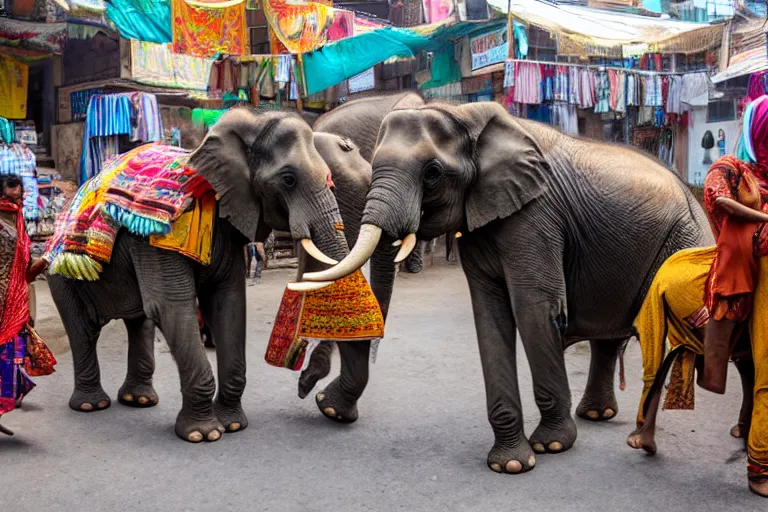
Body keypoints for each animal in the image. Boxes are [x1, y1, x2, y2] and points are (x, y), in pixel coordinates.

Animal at [45, 109, 360, 444]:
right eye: (288, 180)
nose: (308, 389)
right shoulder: (158, 237)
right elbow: (171, 306)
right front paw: (203, 434)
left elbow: (227, 302)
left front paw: (233, 425)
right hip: (59, 271)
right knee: (83, 328)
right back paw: (92, 404)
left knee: (139, 323)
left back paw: (139, 400)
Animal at [298, 102, 712, 474]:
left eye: (432, 173)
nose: (315, 396)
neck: (464, 117)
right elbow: (489, 314)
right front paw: (511, 462)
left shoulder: (535, 215)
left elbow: (533, 307)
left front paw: (551, 445)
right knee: (608, 336)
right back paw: (598, 414)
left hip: (684, 243)